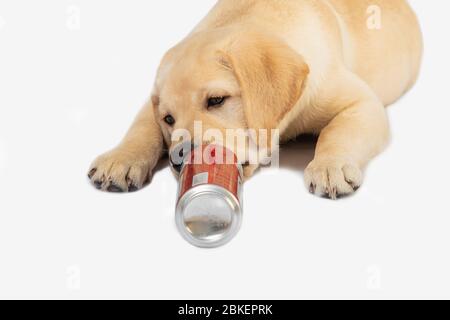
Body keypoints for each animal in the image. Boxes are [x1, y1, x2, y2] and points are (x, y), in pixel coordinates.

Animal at [87, 0, 422, 199]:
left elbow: (338, 131)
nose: (179, 158)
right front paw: (121, 158)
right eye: (169, 120)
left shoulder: (363, 103)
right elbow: (142, 126)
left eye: (216, 100)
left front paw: (330, 166)